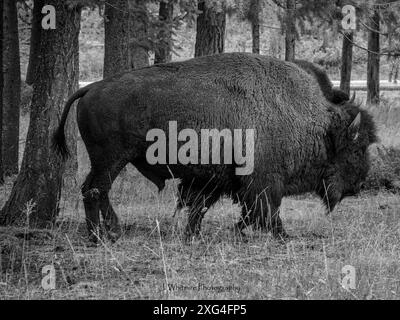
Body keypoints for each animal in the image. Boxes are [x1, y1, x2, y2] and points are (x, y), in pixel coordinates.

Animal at [52, 53, 376, 242]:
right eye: (357, 149)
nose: (359, 186)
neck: (316, 121)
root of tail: (90, 87)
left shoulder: (218, 179)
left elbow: (204, 207)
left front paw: (196, 234)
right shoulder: (263, 181)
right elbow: (267, 209)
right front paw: (283, 236)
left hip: (109, 160)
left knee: (95, 190)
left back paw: (109, 232)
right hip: (111, 159)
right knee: (96, 190)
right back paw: (102, 235)